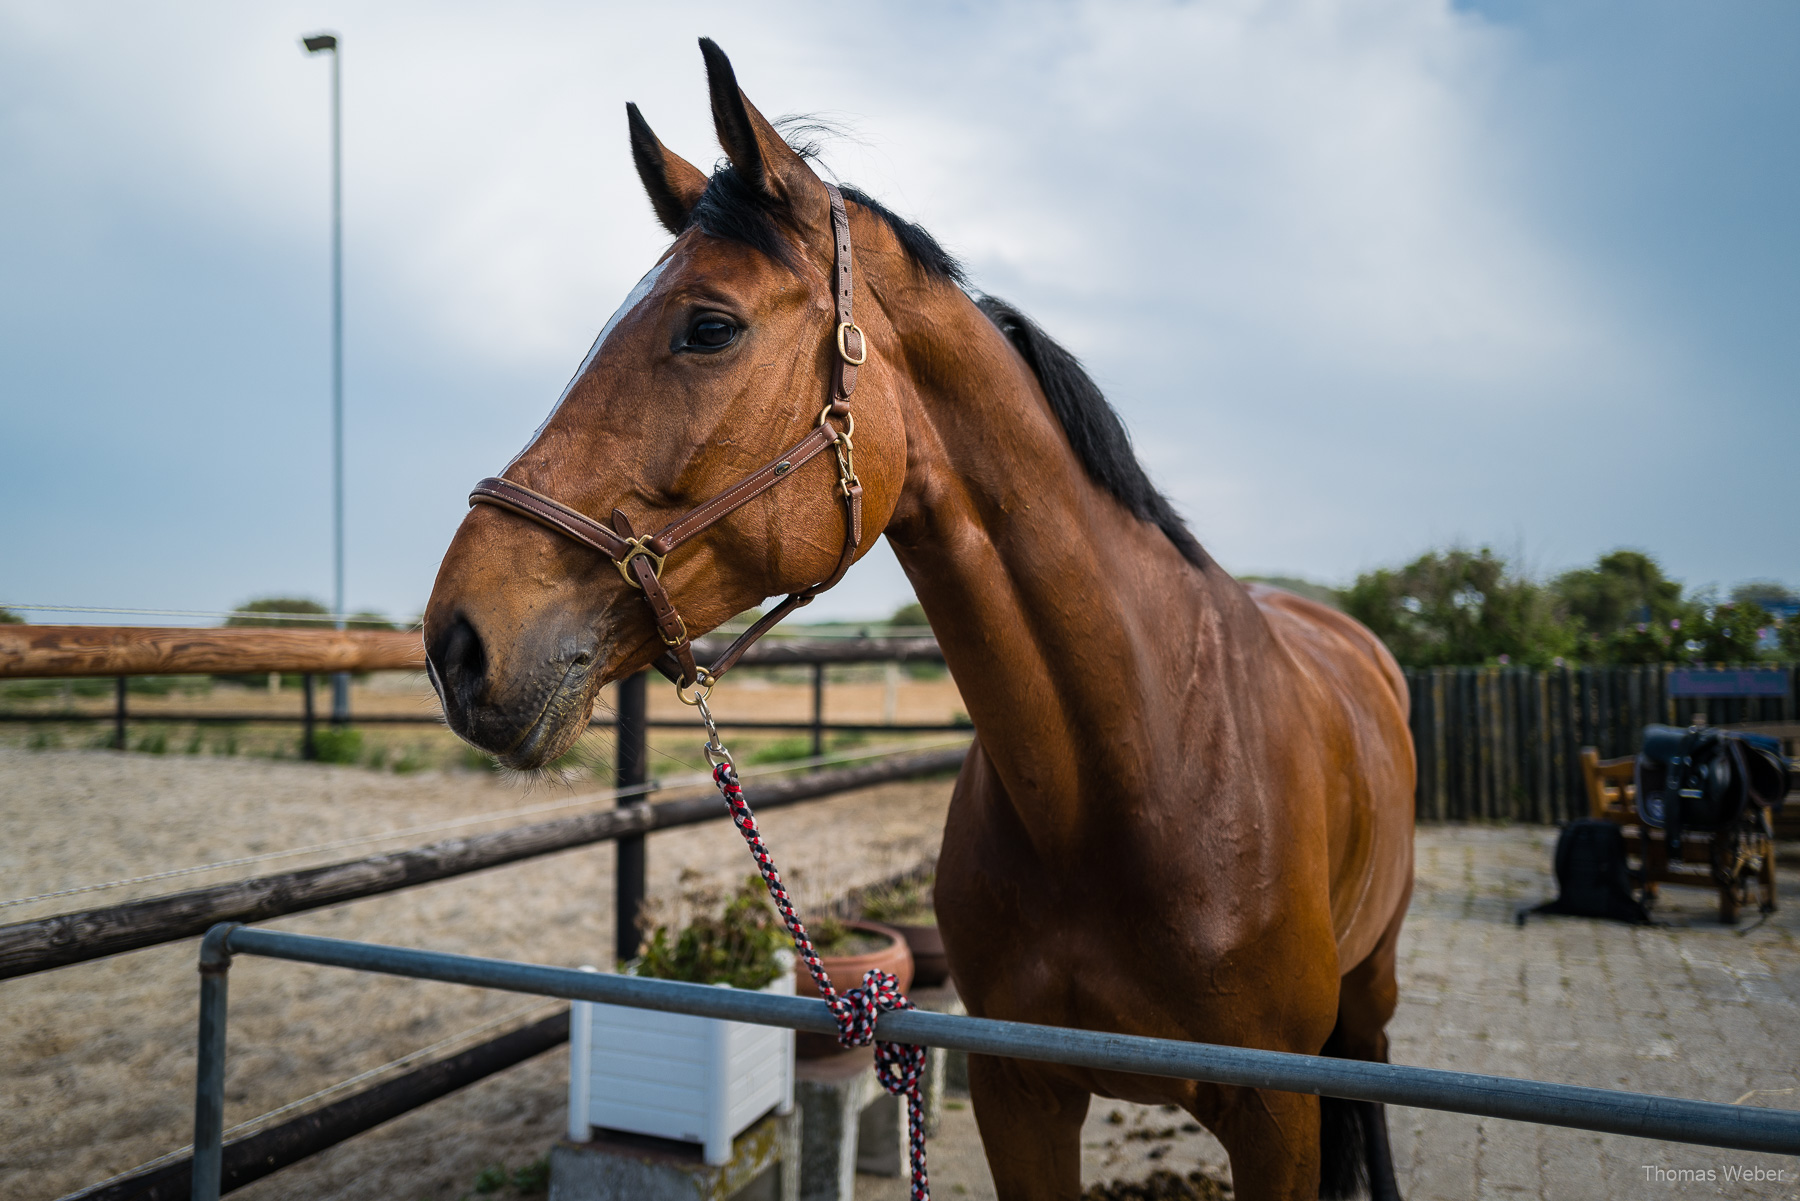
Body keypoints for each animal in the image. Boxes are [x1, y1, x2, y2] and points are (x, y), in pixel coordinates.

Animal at [424, 39, 1418, 1201]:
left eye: (709, 327)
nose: (455, 641)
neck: (1141, 776)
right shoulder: (1018, 1093)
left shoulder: (1277, 1113)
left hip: (1371, 1001)